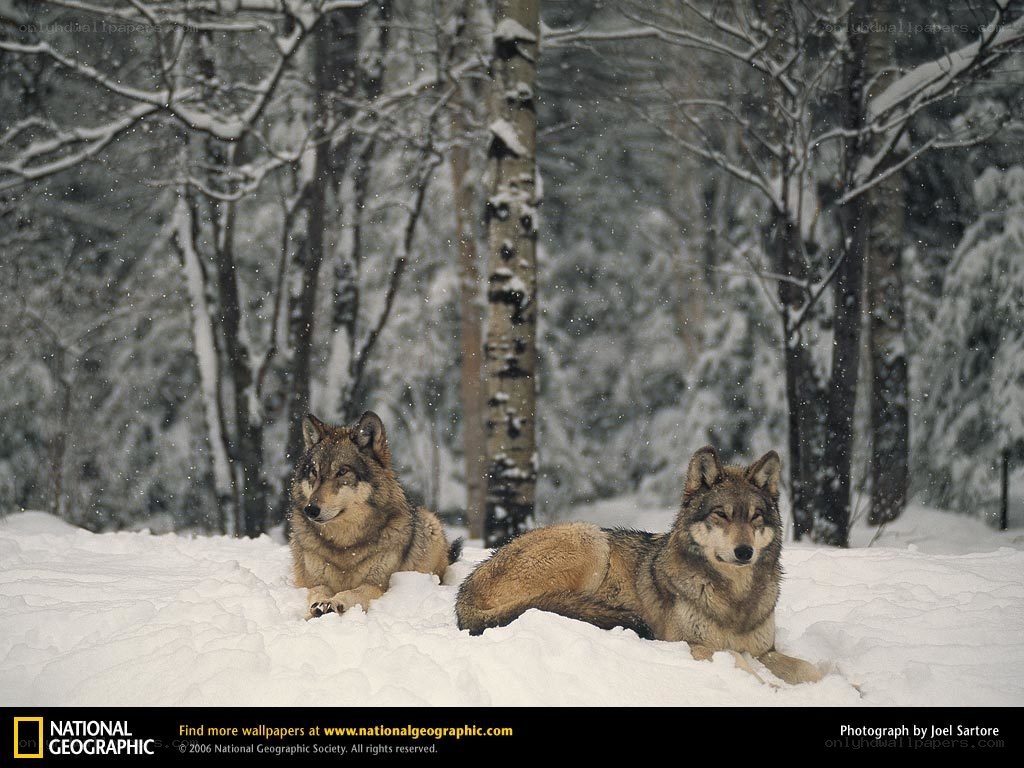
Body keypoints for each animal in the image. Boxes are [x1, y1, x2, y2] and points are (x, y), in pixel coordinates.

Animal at [290, 411, 460, 620]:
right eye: (314, 472)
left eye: (342, 471)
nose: (310, 509)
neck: (344, 545)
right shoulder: (314, 582)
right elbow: (317, 593)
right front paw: (317, 607)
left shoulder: (376, 585)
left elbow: (351, 592)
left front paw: (335, 602)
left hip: (430, 525)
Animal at [455, 446, 823, 685]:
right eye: (721, 515)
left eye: (755, 517)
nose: (744, 552)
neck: (734, 598)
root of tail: (466, 589)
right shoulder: (688, 644)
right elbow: (737, 661)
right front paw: (770, 688)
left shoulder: (766, 650)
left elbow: (809, 669)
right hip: (590, 539)